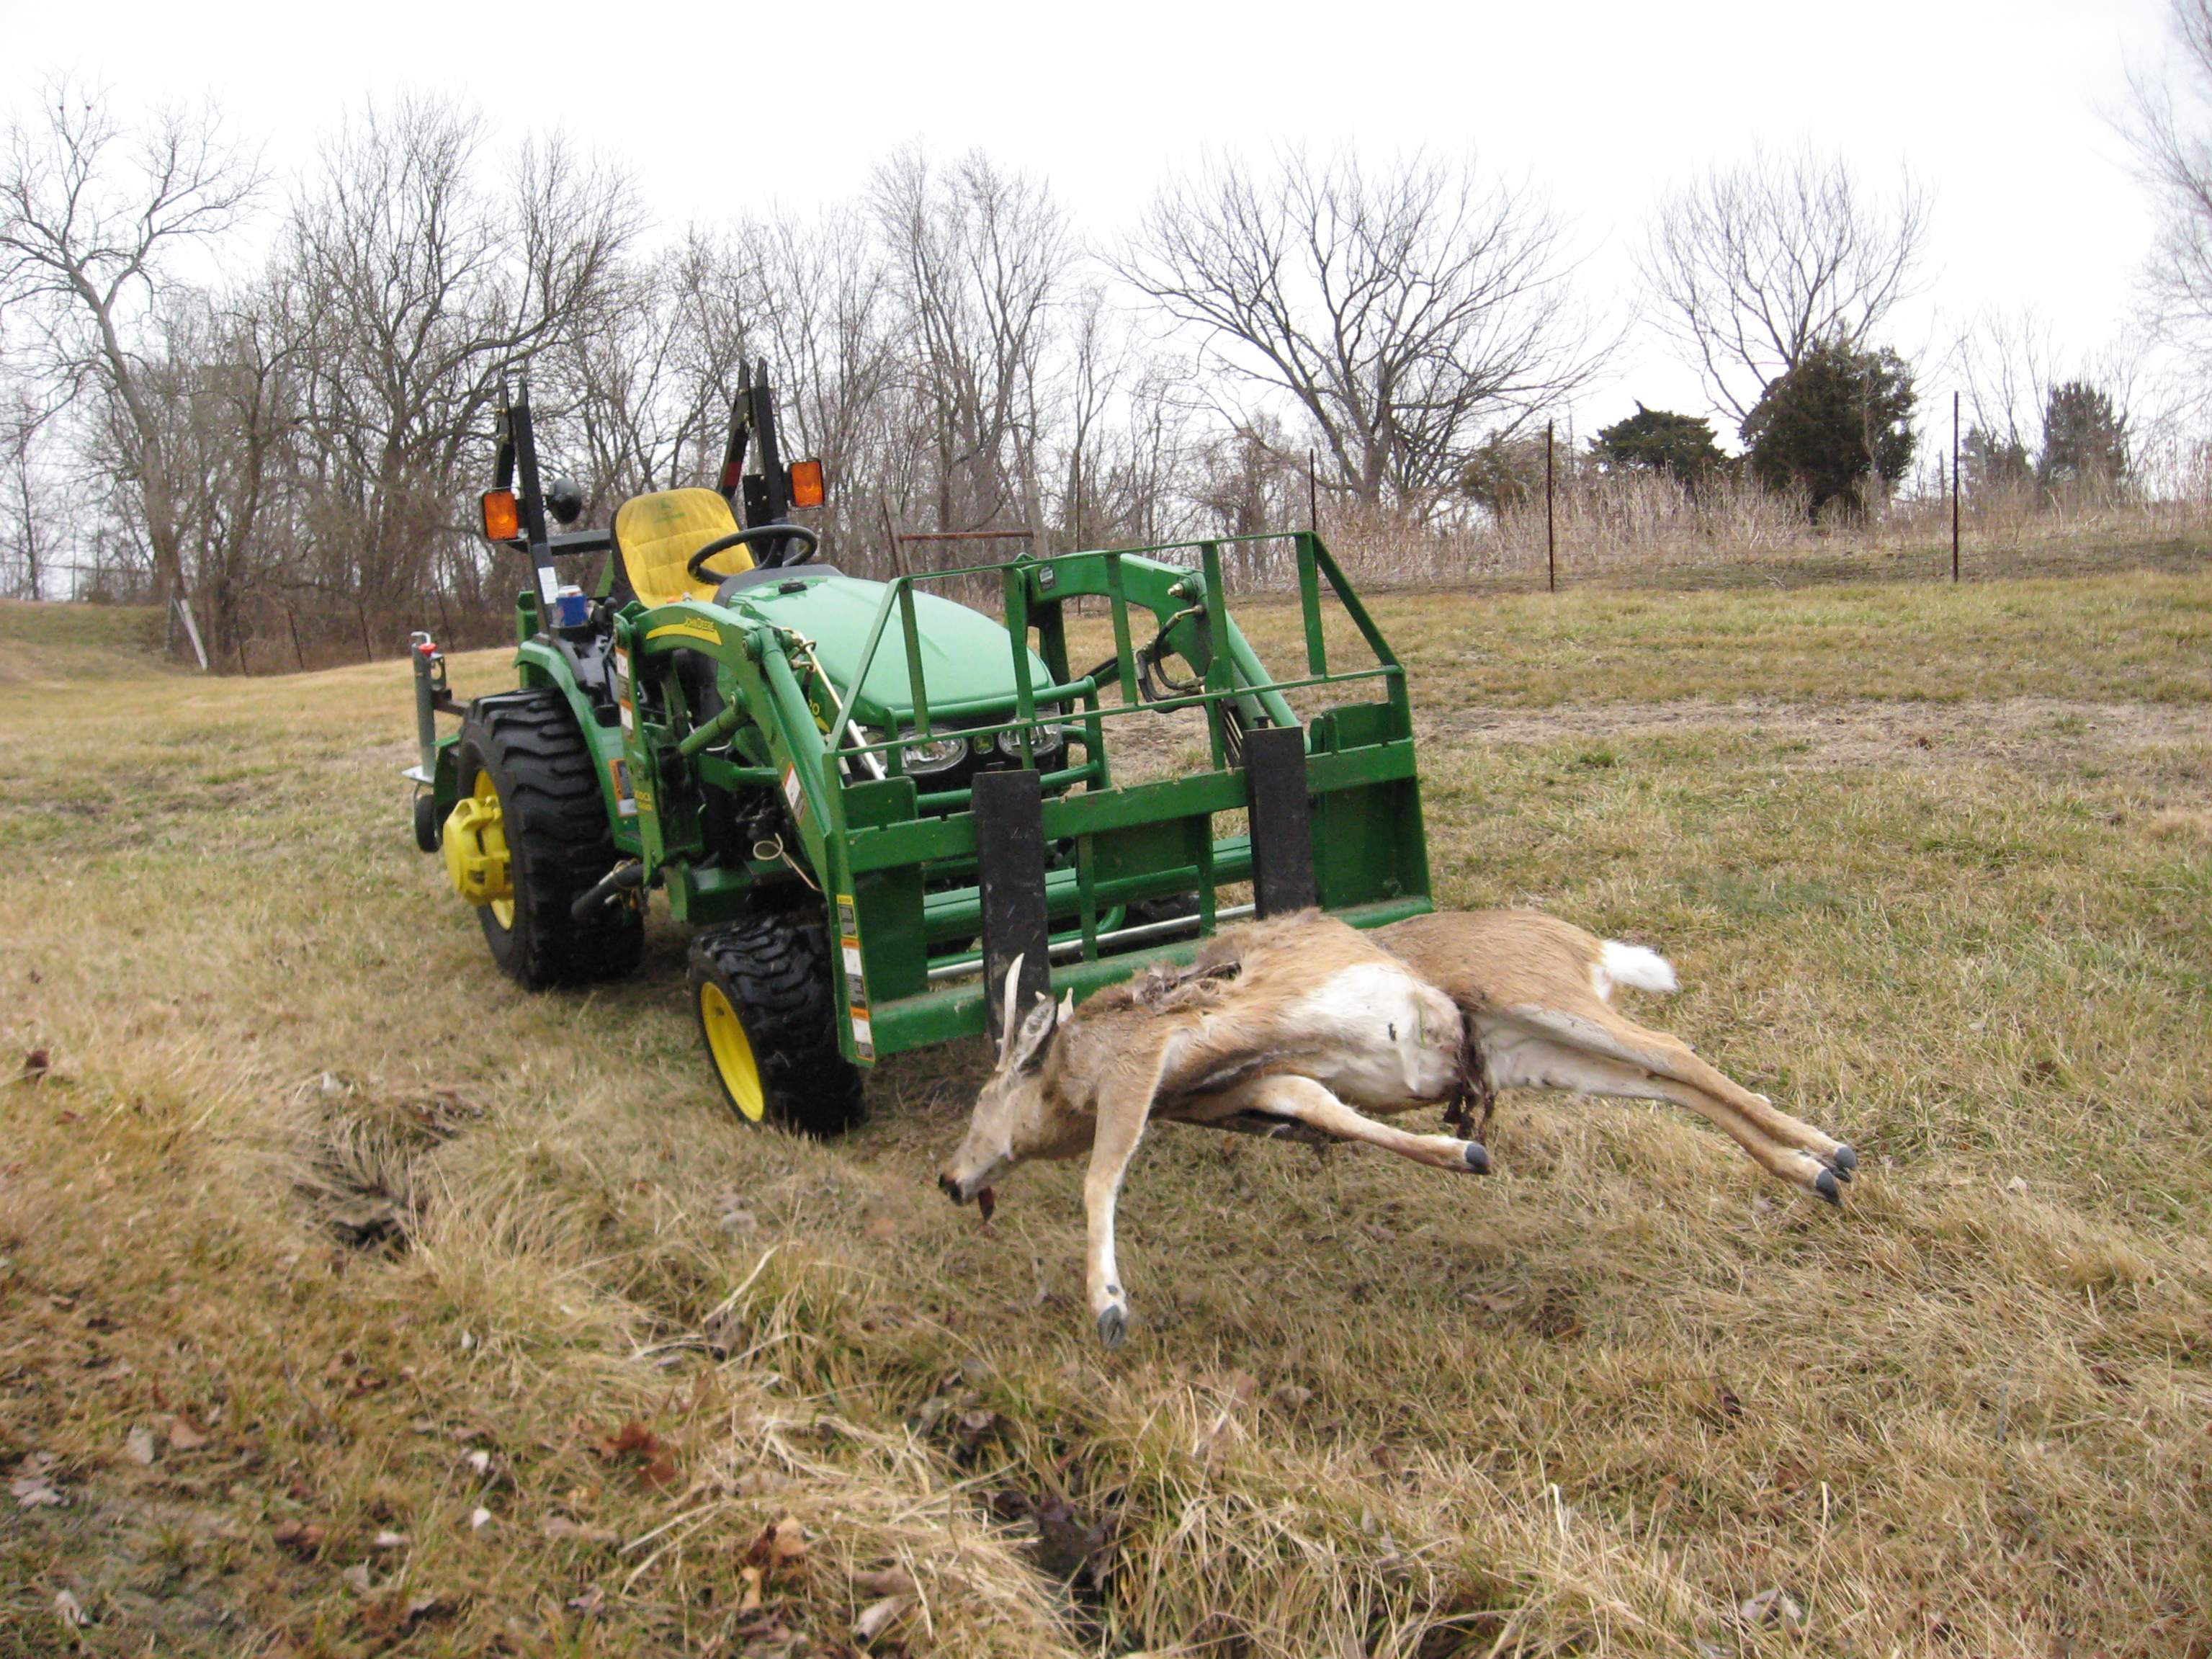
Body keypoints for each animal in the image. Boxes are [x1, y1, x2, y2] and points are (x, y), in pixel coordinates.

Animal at [937, 909, 1855, 1348]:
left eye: (982, 1100)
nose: (948, 1178)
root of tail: (1585, 942)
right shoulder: (1259, 1082)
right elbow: (1326, 1111)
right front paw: (1464, 1152)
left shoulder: (1141, 1063)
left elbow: (1101, 1173)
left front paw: (1108, 1307)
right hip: (1533, 1050)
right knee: (1670, 1078)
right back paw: (1818, 1168)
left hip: (1547, 1000)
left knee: (1675, 1048)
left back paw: (1829, 1148)